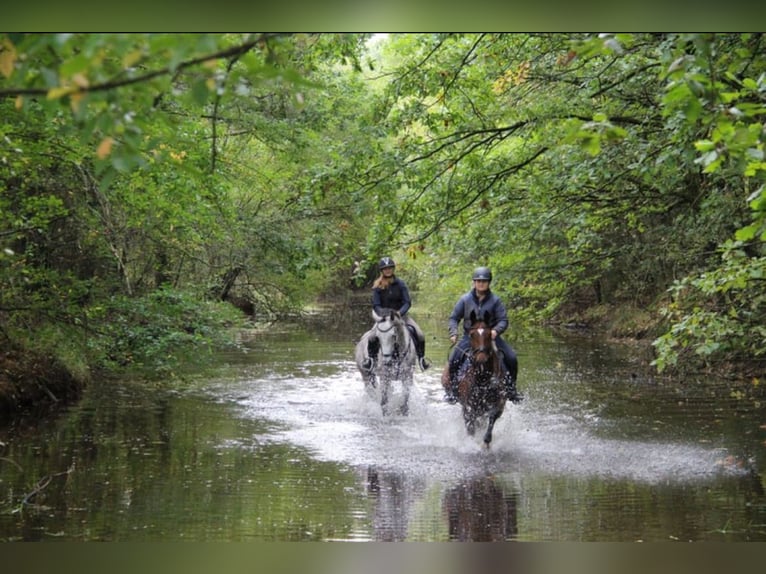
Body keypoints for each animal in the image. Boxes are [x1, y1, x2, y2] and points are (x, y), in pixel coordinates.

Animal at [444, 310, 510, 450]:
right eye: (471, 334)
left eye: (489, 334)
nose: (481, 359)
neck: (482, 379)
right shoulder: (468, 407)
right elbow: (470, 427)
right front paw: (471, 441)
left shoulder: (499, 405)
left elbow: (492, 418)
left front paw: (486, 442)